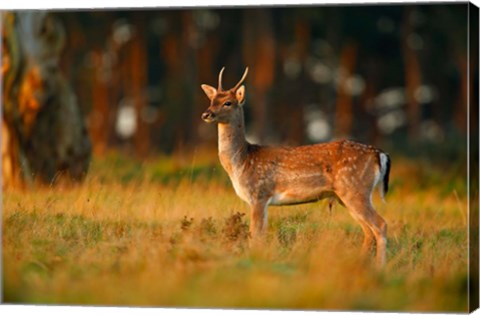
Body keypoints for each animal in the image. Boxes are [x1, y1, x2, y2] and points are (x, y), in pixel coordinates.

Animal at [200, 67, 390, 266]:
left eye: (228, 102)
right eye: (212, 100)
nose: (206, 114)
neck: (242, 161)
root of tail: (380, 154)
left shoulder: (259, 194)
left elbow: (255, 235)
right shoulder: (262, 200)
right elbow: (261, 234)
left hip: (355, 189)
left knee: (380, 224)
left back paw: (380, 267)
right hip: (346, 195)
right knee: (368, 231)